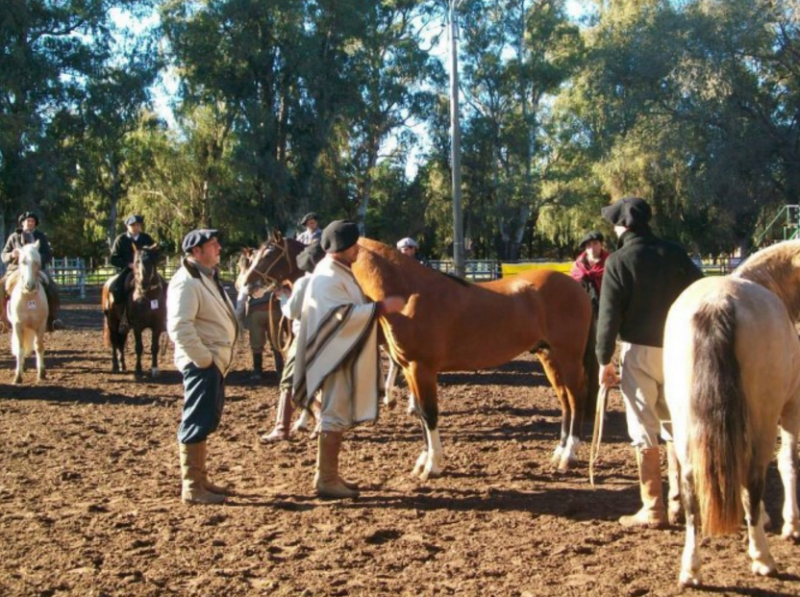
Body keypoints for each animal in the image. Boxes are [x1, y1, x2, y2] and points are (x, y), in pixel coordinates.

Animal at [6, 241, 48, 384]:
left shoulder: (41, 325)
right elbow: (20, 349)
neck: (29, 297)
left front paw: (41, 373)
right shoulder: (18, 325)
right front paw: (18, 377)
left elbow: (39, 346)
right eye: (22, 262)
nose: (29, 286)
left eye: (37, 262)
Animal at [102, 243, 166, 374]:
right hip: (112, 321)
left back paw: (123, 364)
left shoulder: (157, 326)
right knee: (115, 341)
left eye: (151, 261)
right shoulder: (137, 326)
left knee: (121, 343)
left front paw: (154, 368)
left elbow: (154, 347)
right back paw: (115, 365)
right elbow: (139, 347)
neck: (148, 297)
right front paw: (138, 368)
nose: (143, 283)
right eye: (136, 261)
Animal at [252, 234, 600, 480]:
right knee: (565, 400)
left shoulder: (422, 368)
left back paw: (568, 455)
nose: (251, 284)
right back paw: (559, 451)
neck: (408, 294)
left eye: (269, 252)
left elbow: (430, 413)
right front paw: (423, 460)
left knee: (577, 397)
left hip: (567, 356)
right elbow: (420, 413)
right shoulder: (408, 369)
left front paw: (432, 466)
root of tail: (575, 286)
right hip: (548, 357)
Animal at [664, 239, 800, 588]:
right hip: (764, 419)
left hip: (685, 424)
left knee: (691, 488)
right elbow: (788, 462)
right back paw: (762, 558)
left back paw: (691, 569)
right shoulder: (791, 408)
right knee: (754, 477)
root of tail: (717, 302)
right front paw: (790, 524)